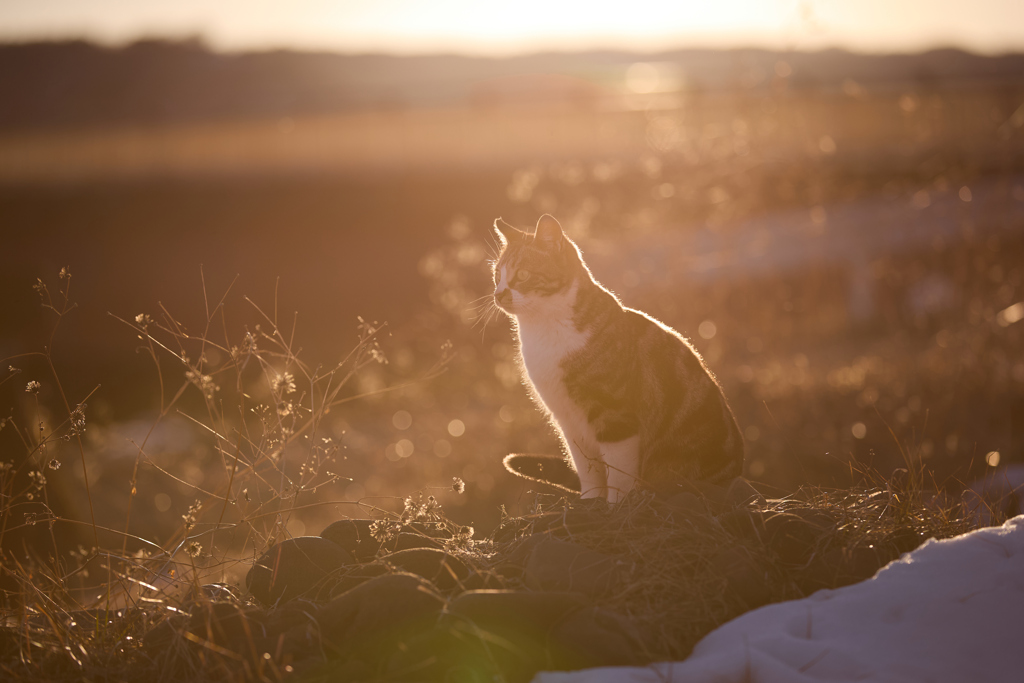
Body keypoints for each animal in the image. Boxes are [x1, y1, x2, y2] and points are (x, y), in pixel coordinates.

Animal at [489, 214, 741, 501]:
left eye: (522, 274)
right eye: (497, 275)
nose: (498, 293)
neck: (544, 331)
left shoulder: (616, 416)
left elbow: (619, 476)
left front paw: (616, 505)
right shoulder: (569, 421)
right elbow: (588, 470)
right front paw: (590, 503)